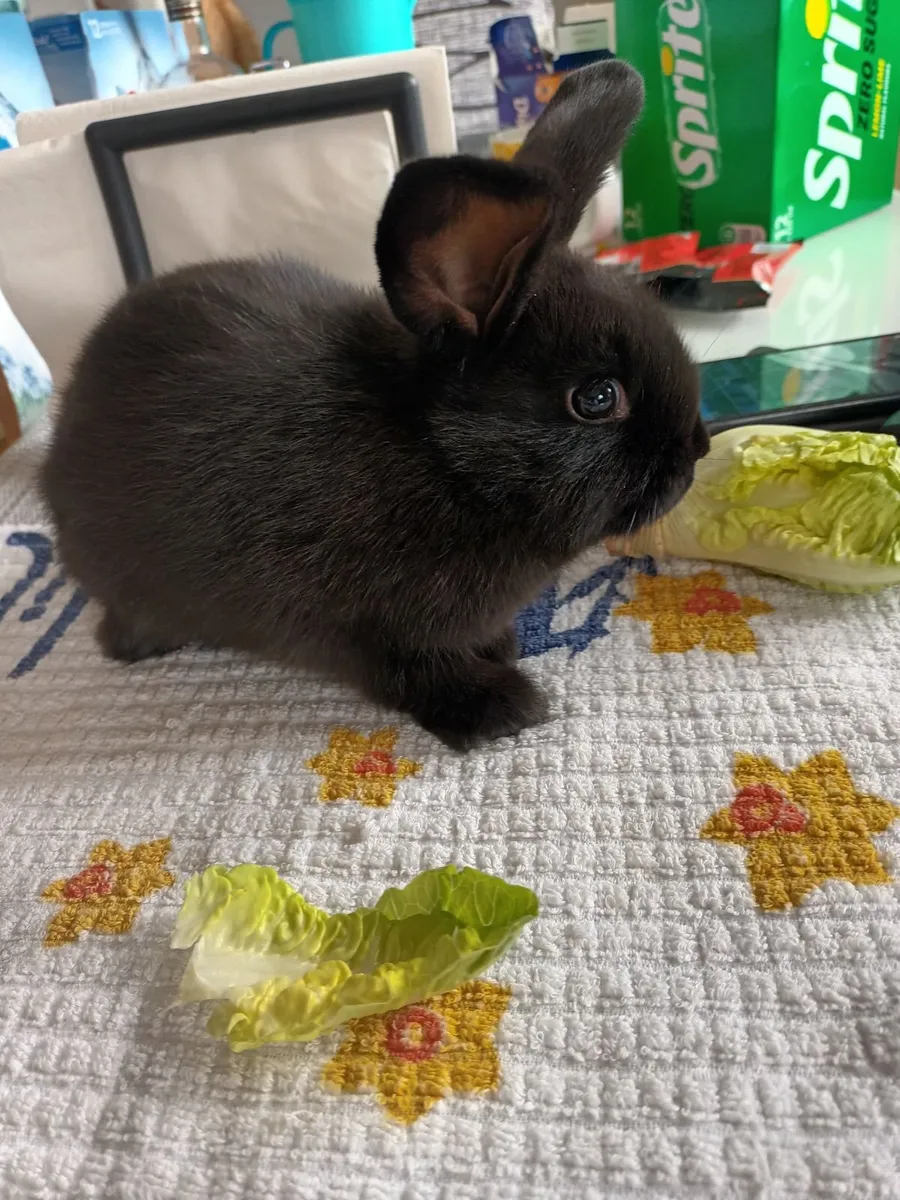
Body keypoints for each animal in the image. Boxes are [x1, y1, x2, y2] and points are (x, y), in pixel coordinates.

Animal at [41, 60, 708, 751]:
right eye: (597, 398)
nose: (698, 450)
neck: (443, 458)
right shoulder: (363, 630)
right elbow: (411, 671)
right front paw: (502, 708)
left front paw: (499, 649)